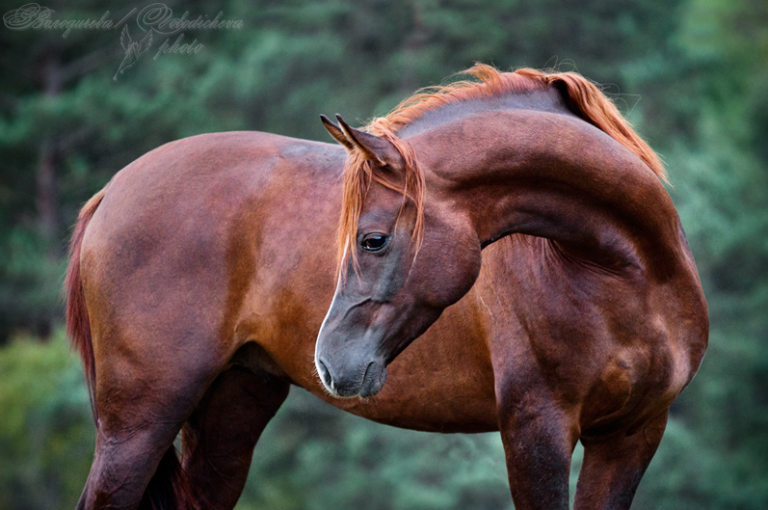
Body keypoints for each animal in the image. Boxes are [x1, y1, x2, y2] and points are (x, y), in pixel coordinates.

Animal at [66, 64, 708, 510]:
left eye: (372, 240)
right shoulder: (538, 430)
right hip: (140, 420)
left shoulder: (631, 435)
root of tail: (111, 192)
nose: (329, 363)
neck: (622, 276)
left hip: (232, 406)